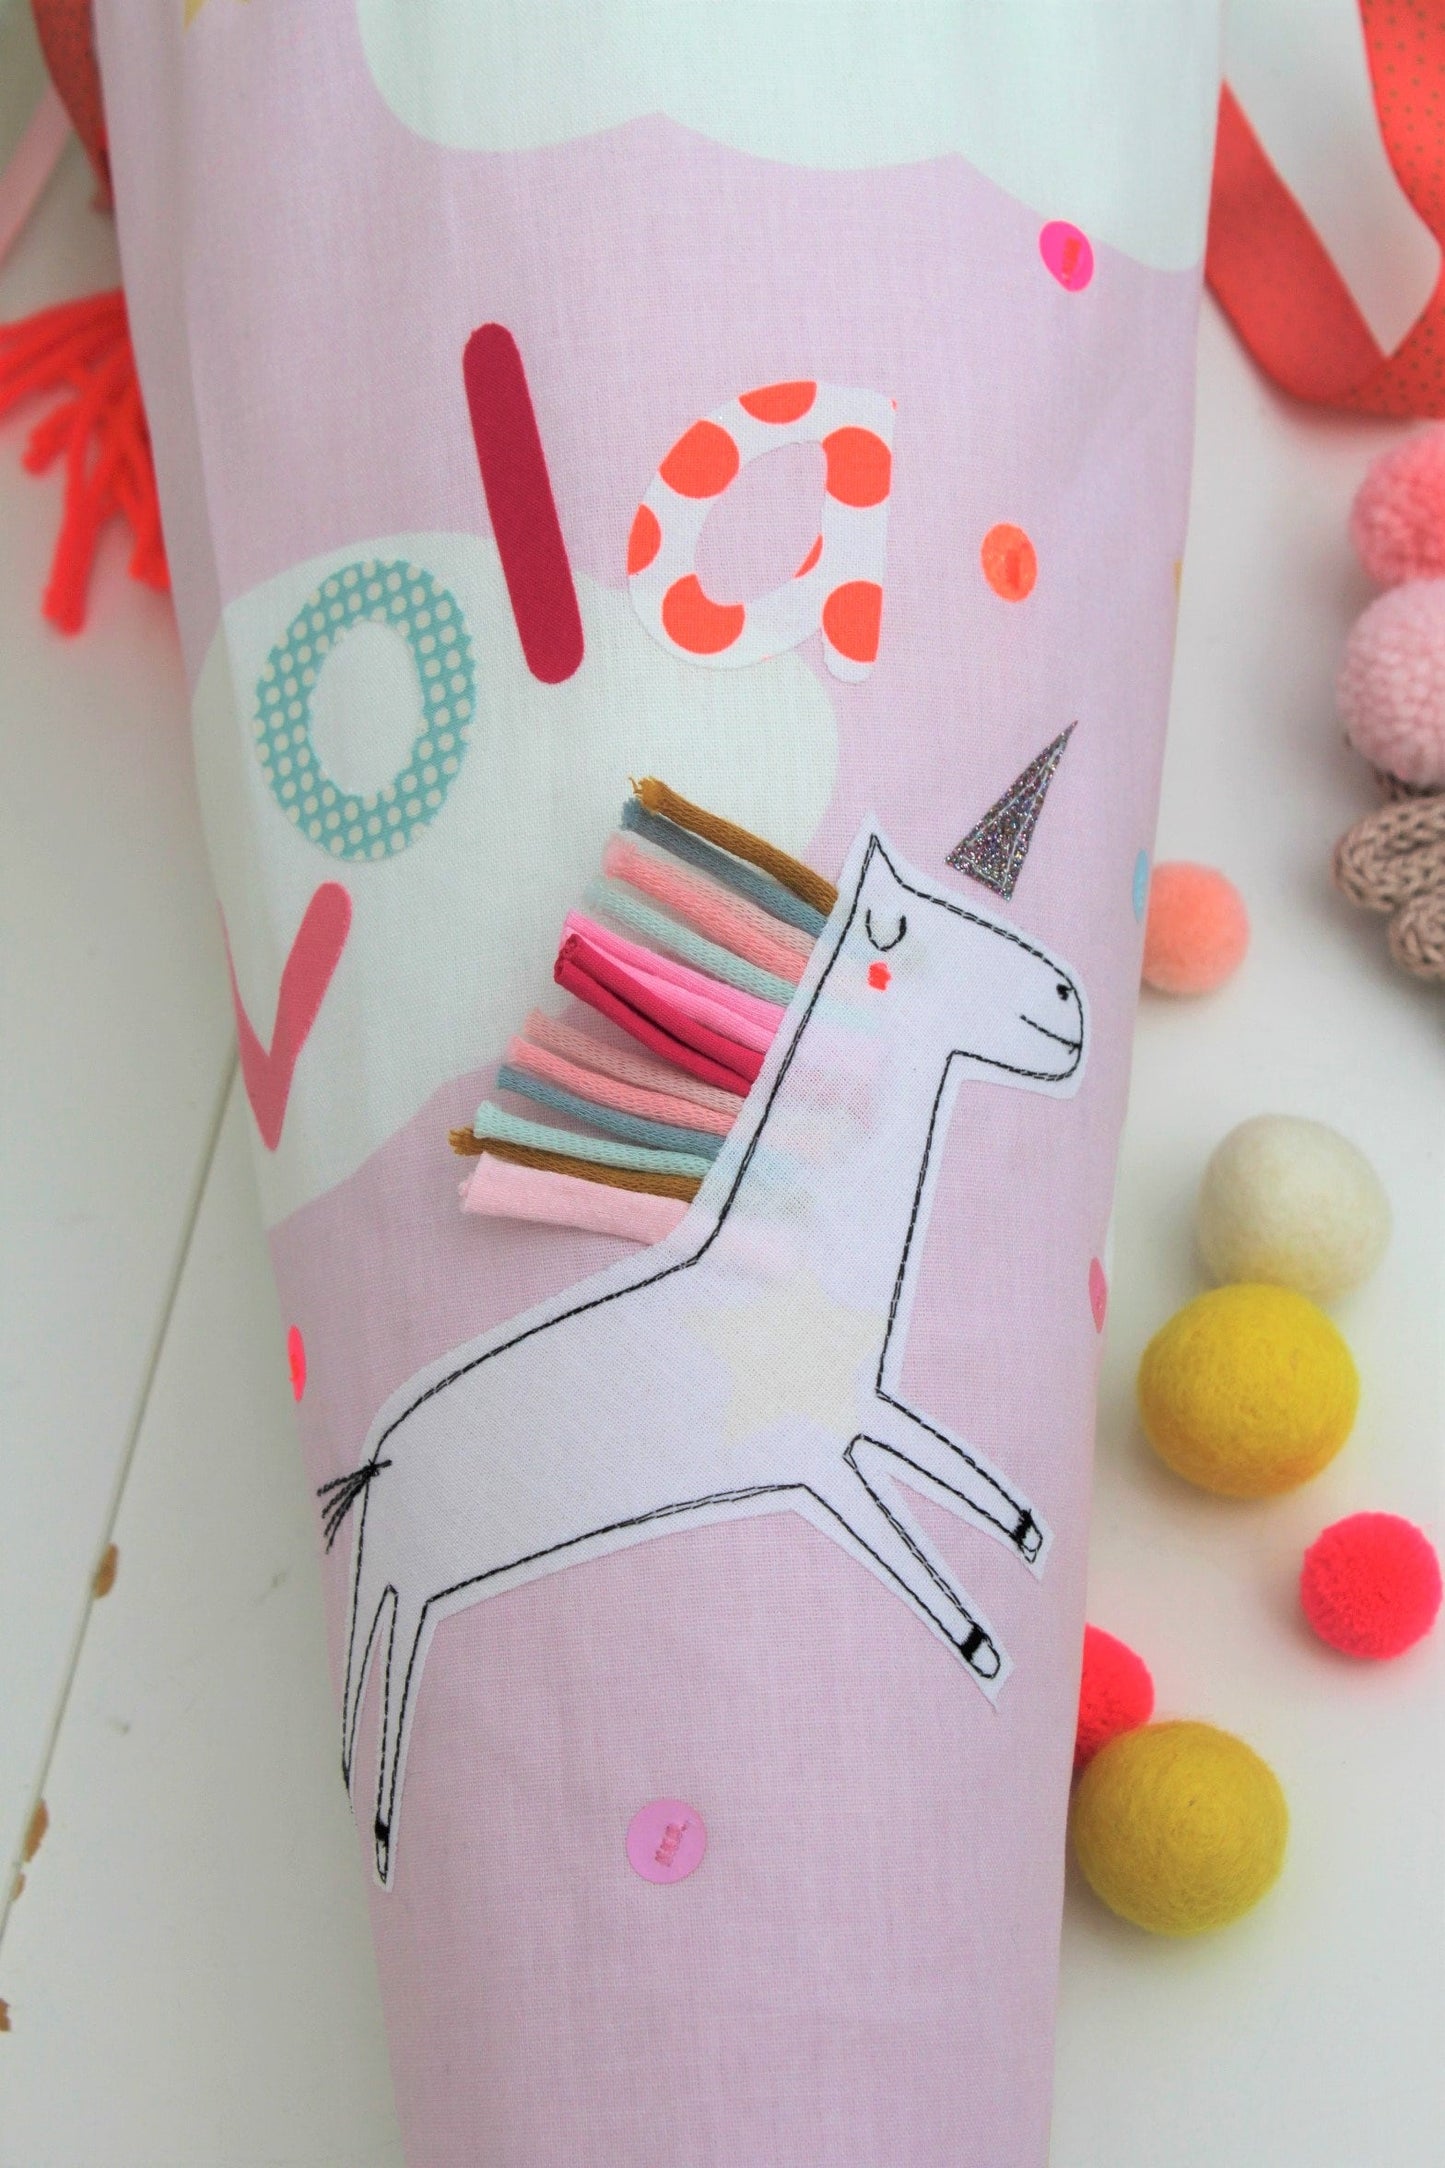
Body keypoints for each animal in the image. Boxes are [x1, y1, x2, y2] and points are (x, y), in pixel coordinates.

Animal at [324, 825, 1087, 1884]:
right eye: (896, 949)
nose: (1066, 997)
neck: (792, 1268)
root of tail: (382, 1459)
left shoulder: (858, 1408)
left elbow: (948, 1469)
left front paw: (1023, 1535)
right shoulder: (811, 1460)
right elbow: (908, 1546)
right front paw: (979, 1642)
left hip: (425, 1574)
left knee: (385, 1643)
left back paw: (378, 1813)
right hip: (418, 1562)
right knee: (382, 1657)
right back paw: (383, 1825)